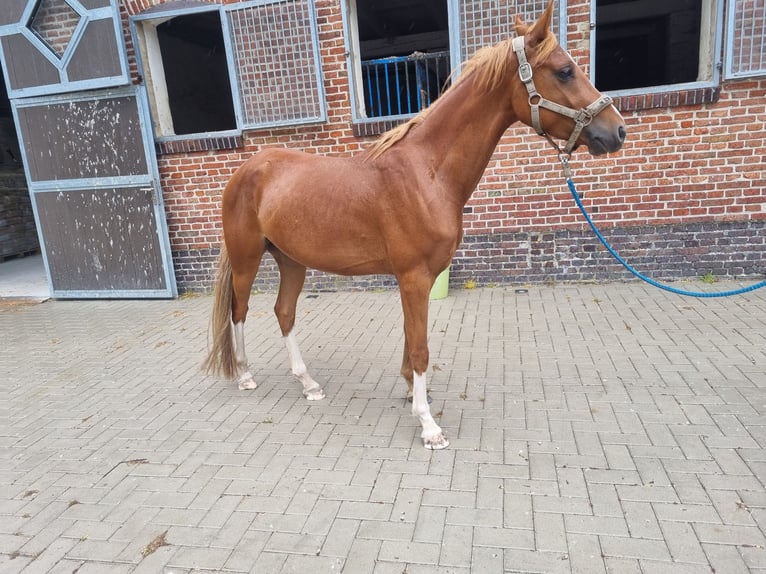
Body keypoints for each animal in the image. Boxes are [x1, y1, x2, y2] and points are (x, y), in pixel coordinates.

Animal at [203, 2, 626, 449]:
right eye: (564, 71)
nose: (617, 131)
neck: (427, 171)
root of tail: (247, 169)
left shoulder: (415, 279)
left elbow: (411, 341)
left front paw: (411, 392)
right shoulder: (414, 277)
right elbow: (420, 347)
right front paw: (428, 425)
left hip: (291, 260)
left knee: (284, 312)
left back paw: (308, 384)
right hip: (248, 260)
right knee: (239, 311)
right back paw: (245, 375)